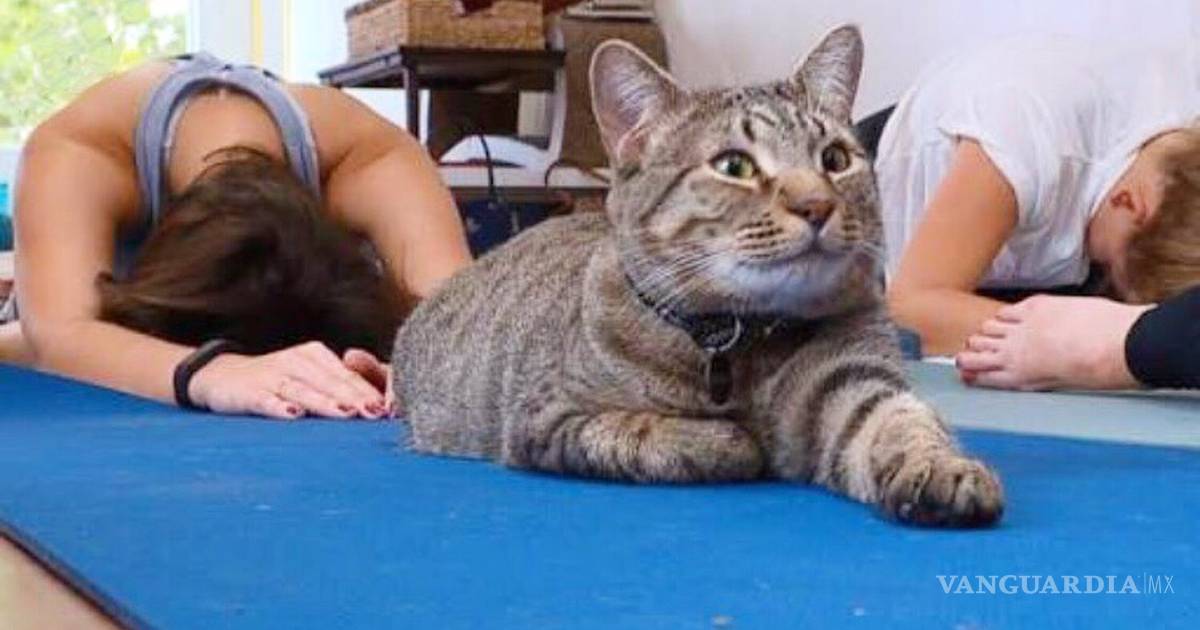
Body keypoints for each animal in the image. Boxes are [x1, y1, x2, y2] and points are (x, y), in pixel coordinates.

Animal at [392, 26, 1003, 527]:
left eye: (834, 158)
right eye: (734, 165)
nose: (816, 205)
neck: (738, 341)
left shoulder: (852, 377)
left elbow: (899, 419)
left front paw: (938, 464)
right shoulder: (550, 417)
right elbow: (663, 432)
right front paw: (734, 438)